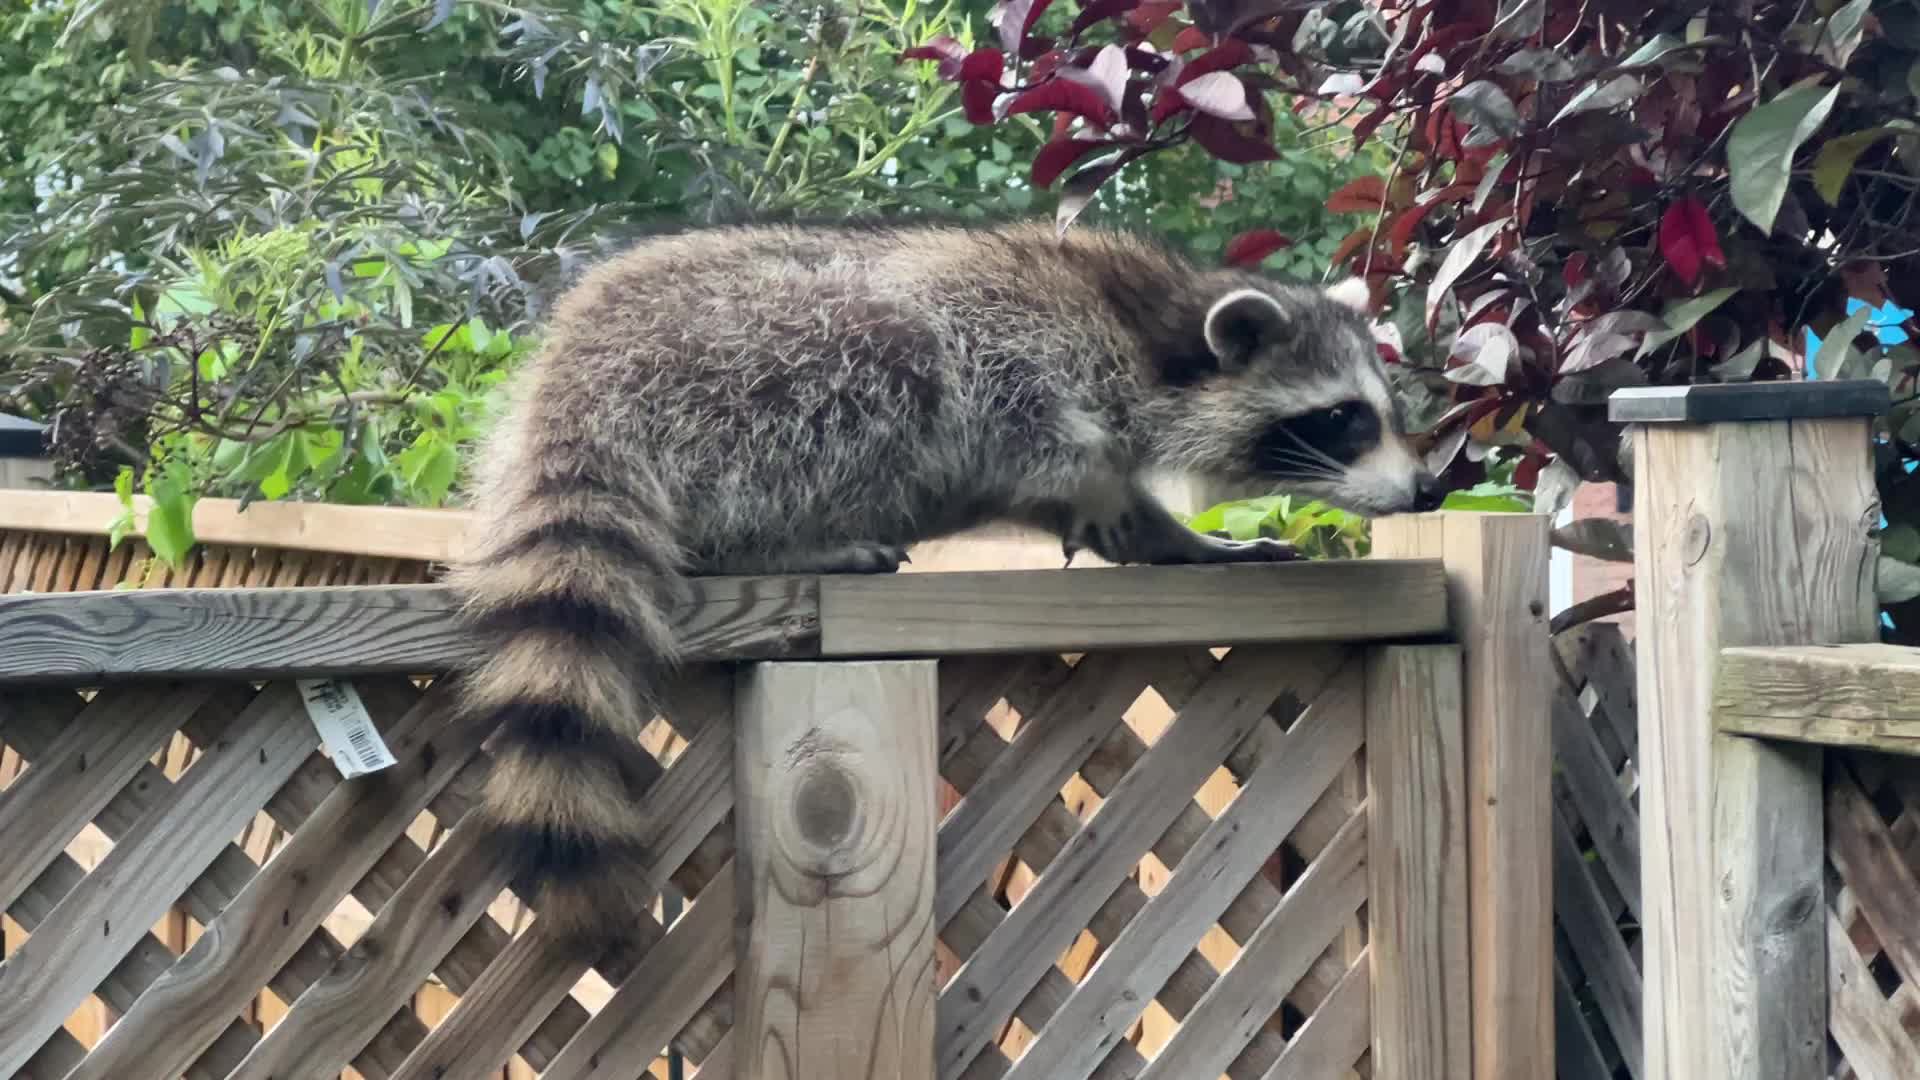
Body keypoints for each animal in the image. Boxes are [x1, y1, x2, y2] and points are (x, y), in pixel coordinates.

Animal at [447, 218, 1441, 950]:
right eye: (1345, 420)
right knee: (884, 362)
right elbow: (1031, 429)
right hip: (745, 370)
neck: (1146, 329)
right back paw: (777, 542)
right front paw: (1123, 504)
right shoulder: (1020, 348)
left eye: (1387, 411)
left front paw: (1176, 540)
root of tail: (574, 370)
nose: (1430, 489)